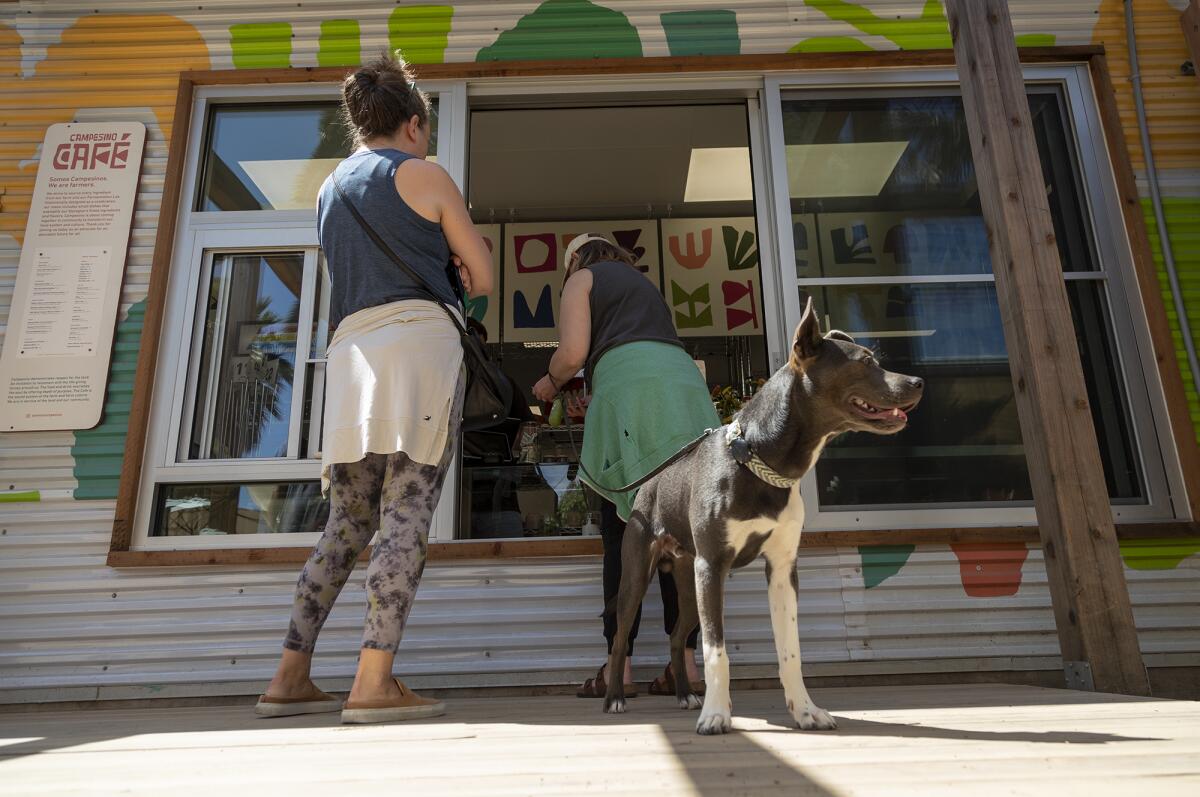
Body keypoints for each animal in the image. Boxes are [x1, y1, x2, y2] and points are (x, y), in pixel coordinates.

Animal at [604, 297, 921, 734]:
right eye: (865, 362)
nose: (918, 382)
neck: (758, 459)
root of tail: (648, 485)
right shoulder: (712, 565)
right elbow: (717, 650)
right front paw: (716, 715)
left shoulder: (782, 568)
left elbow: (790, 650)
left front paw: (805, 710)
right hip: (640, 575)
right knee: (621, 637)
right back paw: (615, 698)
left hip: (689, 582)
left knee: (676, 635)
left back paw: (685, 694)